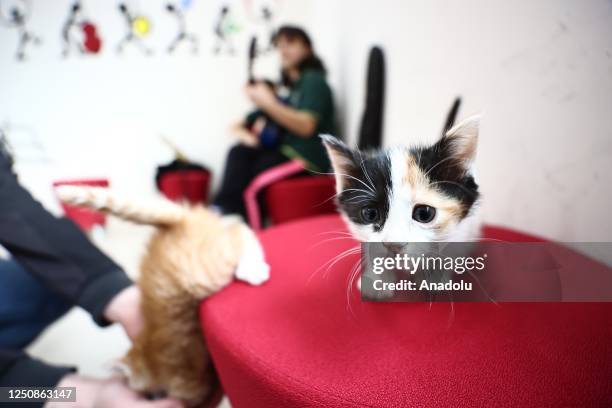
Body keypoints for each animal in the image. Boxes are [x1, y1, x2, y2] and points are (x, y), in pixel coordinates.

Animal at [56, 186, 268, 406]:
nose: (151, 395)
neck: (151, 353)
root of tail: (177, 221)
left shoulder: (193, 386)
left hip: (203, 274)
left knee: (239, 230)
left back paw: (252, 269)